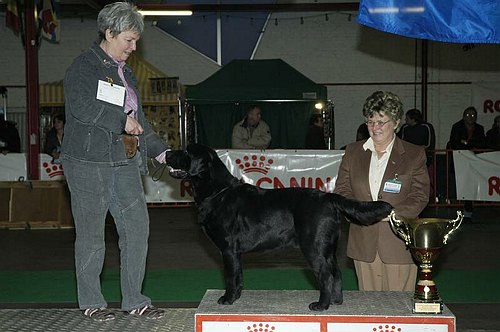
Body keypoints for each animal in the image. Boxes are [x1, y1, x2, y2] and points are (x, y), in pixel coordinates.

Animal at [168, 143, 394, 312]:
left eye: (186, 151)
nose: (168, 153)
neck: (217, 191)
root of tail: (328, 197)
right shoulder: (235, 252)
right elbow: (239, 275)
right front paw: (237, 296)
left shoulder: (228, 248)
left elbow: (230, 276)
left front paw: (228, 299)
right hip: (327, 247)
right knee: (336, 272)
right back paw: (335, 301)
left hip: (313, 246)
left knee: (325, 275)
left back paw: (321, 305)